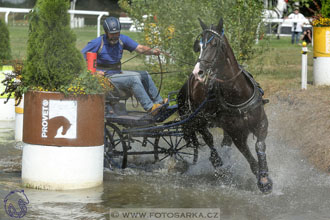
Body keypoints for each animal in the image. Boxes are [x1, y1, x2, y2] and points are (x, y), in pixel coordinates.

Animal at [178, 17, 274, 192]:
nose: (198, 72)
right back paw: (218, 163)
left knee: (224, 143)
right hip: (198, 118)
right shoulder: (238, 134)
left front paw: (264, 178)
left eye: (215, 44)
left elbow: (259, 146)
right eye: (198, 46)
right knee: (208, 138)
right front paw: (260, 176)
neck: (238, 94)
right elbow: (249, 157)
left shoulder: (261, 123)